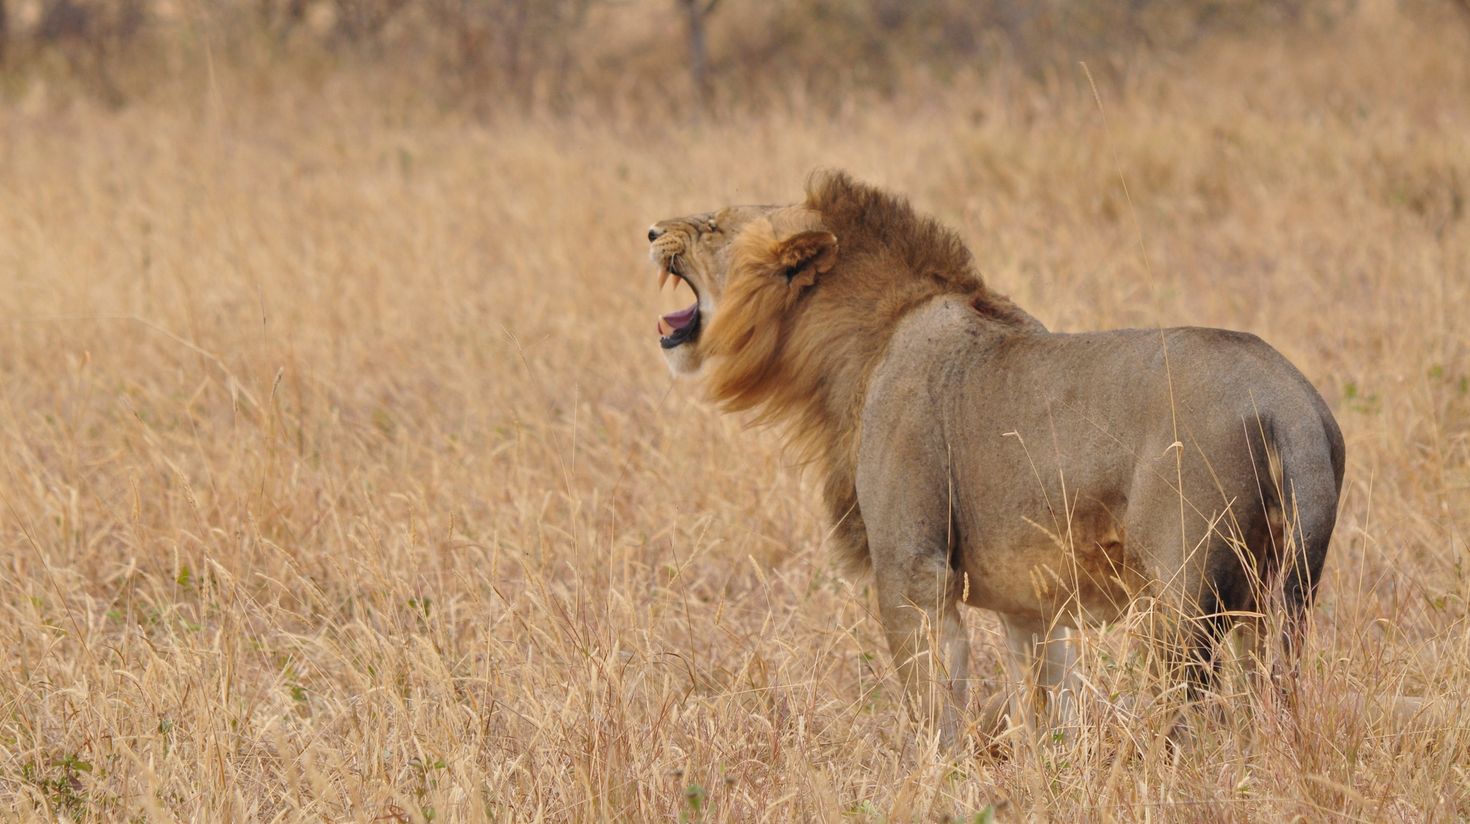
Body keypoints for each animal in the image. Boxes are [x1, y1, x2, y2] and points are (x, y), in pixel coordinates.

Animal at [647, 172, 1345, 743]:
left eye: (714, 226)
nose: (651, 229)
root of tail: (1291, 398)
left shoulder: (913, 568)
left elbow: (934, 700)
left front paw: (936, 777)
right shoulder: (1030, 600)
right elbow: (1041, 700)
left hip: (1183, 596)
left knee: (1191, 710)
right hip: (1273, 596)